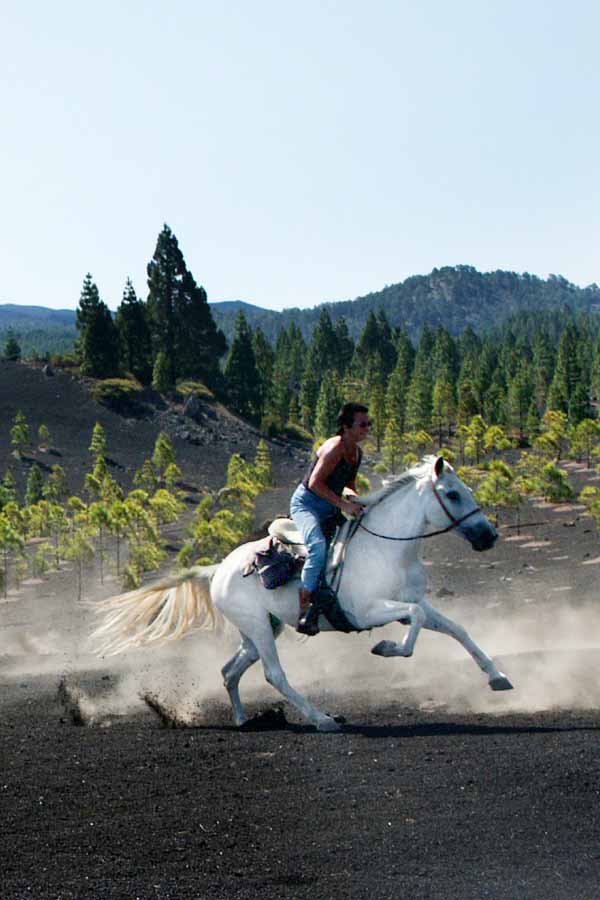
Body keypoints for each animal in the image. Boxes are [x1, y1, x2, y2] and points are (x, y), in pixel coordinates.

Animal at [92, 458, 510, 732]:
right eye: (452, 494)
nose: (489, 536)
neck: (388, 549)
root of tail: (218, 569)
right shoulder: (367, 612)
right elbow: (416, 624)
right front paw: (388, 648)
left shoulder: (415, 601)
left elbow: (456, 629)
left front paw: (498, 677)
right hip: (259, 628)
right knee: (274, 674)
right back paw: (321, 718)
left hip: (261, 629)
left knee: (230, 671)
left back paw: (243, 719)